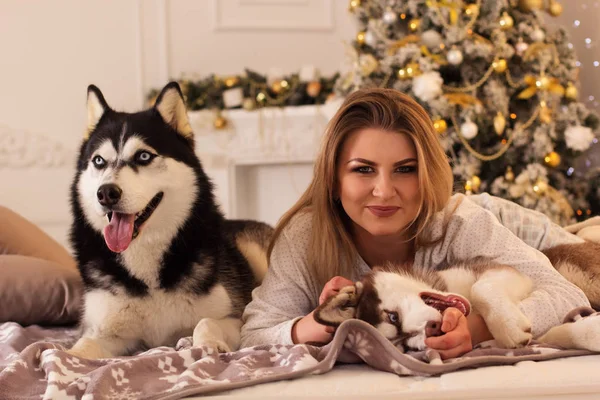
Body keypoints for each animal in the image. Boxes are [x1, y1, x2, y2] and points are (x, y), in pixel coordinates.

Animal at [67, 82, 270, 360]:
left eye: (143, 156)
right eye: (99, 161)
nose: (106, 193)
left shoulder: (238, 317)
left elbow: (206, 321)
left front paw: (209, 344)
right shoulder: (104, 332)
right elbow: (77, 349)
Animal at [314, 242, 600, 352]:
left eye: (393, 317)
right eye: (403, 346)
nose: (433, 328)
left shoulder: (504, 271)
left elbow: (480, 288)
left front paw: (508, 327)